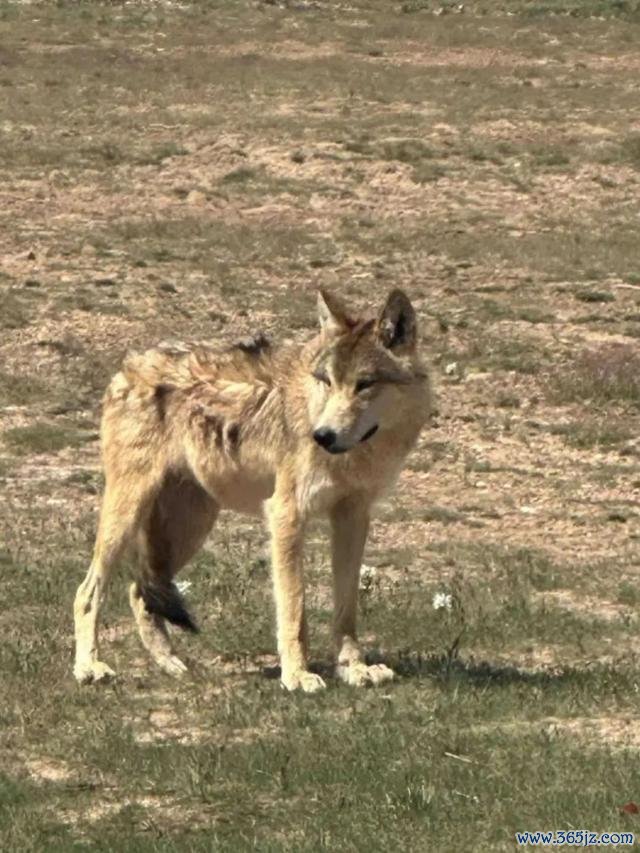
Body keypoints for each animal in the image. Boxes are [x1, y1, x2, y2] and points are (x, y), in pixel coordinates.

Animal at [74, 290, 430, 688]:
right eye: (327, 381)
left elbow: (346, 607)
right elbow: (294, 608)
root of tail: (128, 365)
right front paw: (298, 675)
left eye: (364, 384)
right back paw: (88, 667)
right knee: (88, 591)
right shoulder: (286, 514)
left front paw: (353, 668)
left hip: (190, 528)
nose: (322, 436)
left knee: (139, 591)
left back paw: (171, 665)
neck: (357, 454)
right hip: (129, 514)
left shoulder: (353, 516)